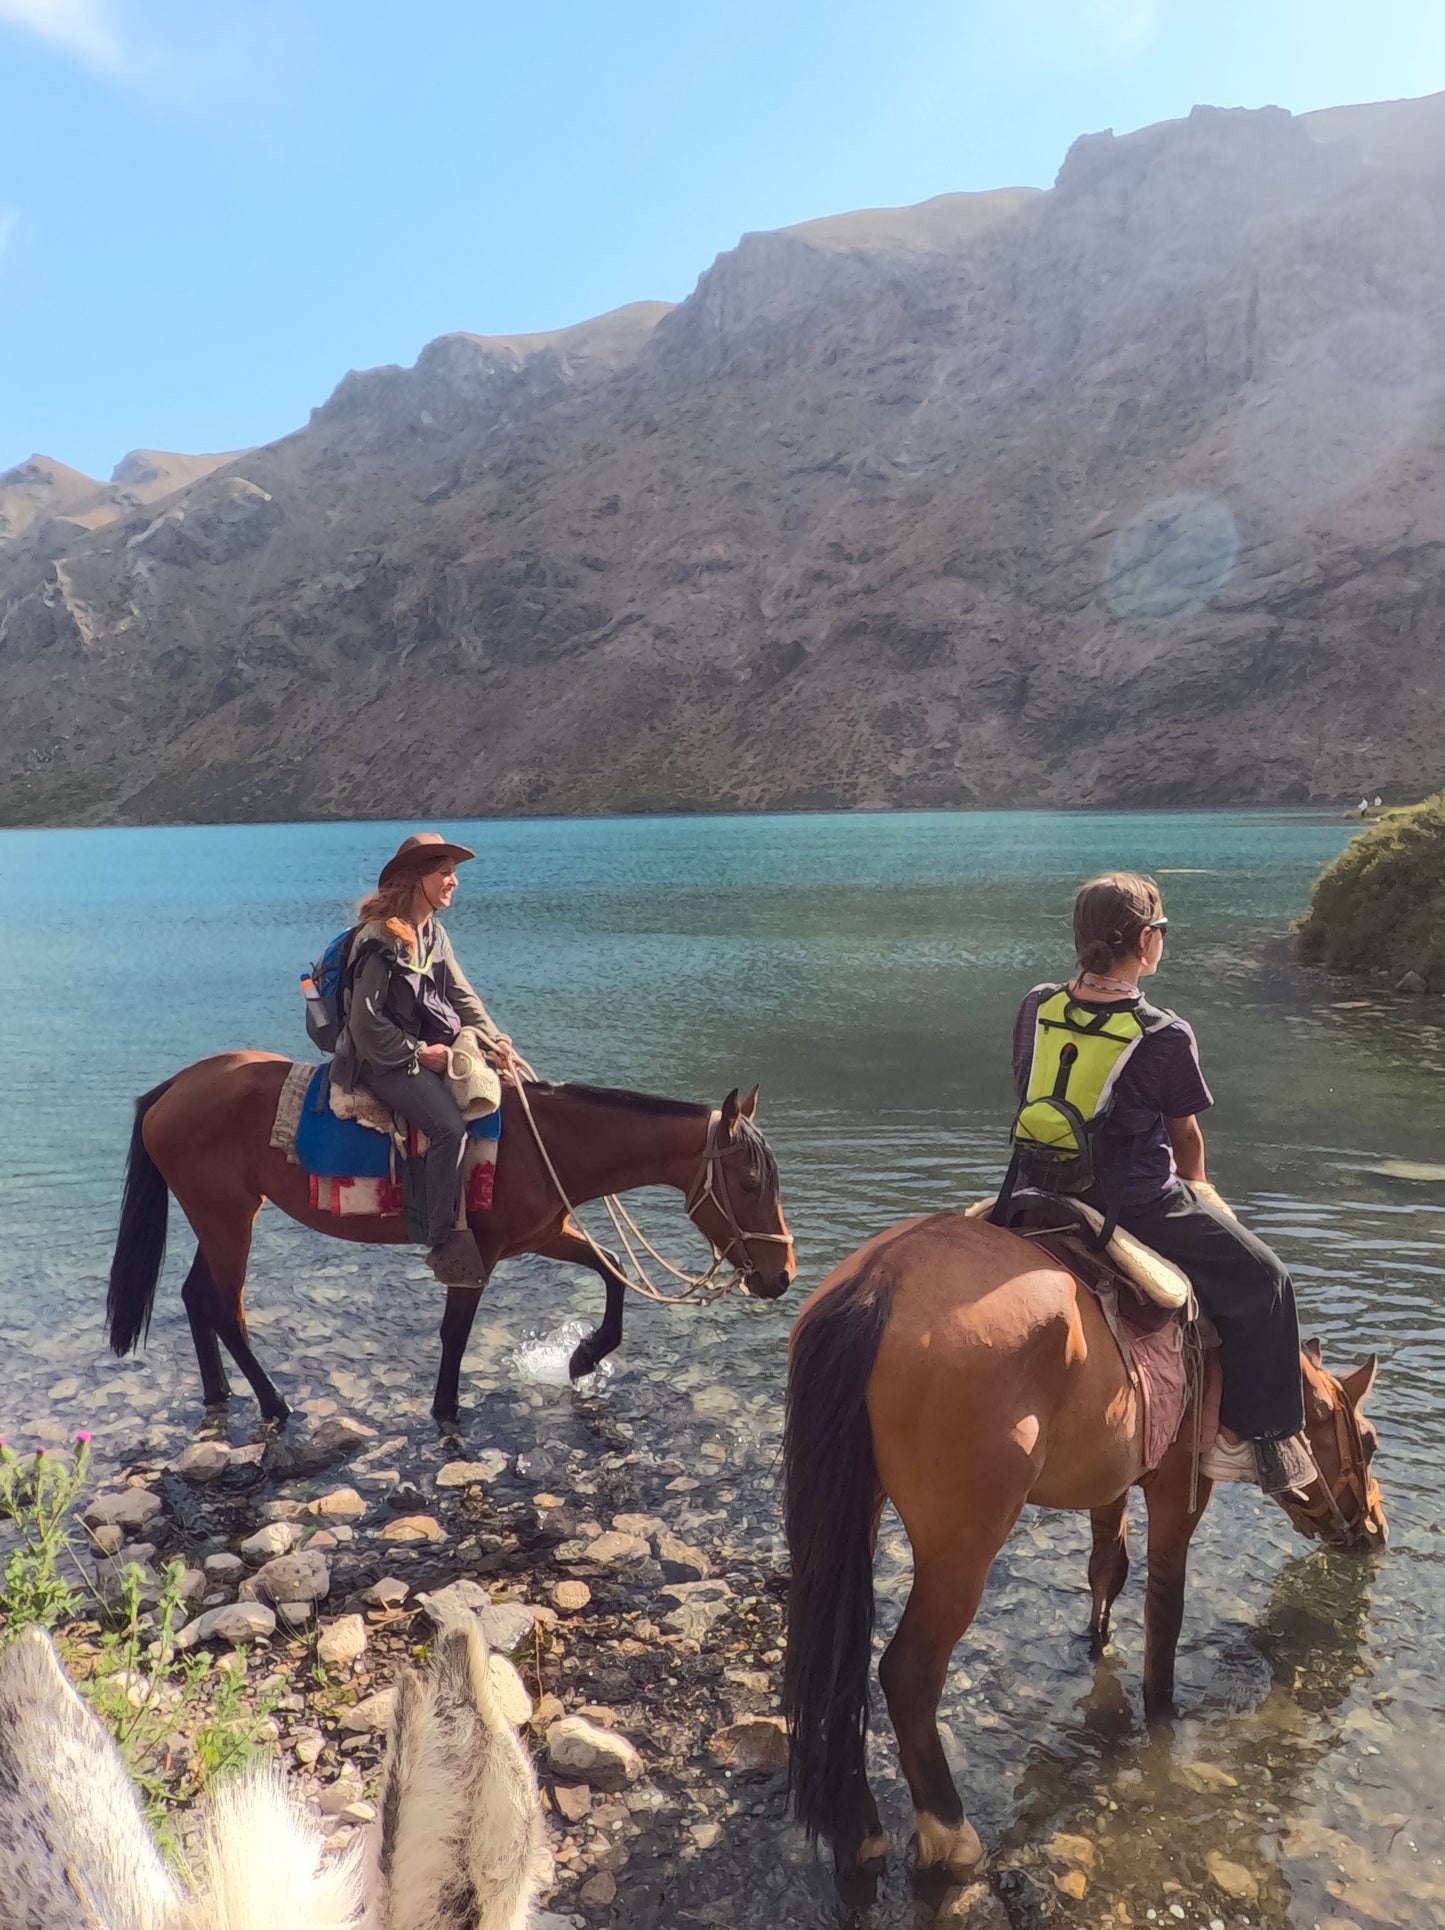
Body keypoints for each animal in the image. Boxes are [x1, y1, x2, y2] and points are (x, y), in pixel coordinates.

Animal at [107, 1049, 794, 1428]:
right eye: (750, 1180)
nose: (783, 1275)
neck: (545, 1141)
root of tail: (173, 1088)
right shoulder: (475, 1255)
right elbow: (456, 1334)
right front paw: (445, 1411)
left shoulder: (544, 1233)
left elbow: (609, 1273)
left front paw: (583, 1357)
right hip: (226, 1220)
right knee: (226, 1307)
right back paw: (275, 1405)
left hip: (224, 1217)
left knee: (197, 1297)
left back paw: (220, 1393)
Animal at [783, 1212, 1381, 1875]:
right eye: (1370, 1441)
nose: (1374, 1534)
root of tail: (880, 1281)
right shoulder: (1179, 1489)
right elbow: (1164, 1614)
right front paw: (1161, 1717)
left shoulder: (1111, 1482)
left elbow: (1107, 1570)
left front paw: (1098, 1644)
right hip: (960, 1548)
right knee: (908, 1673)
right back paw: (949, 1834)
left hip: (851, 1514)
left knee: (837, 1651)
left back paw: (856, 1828)